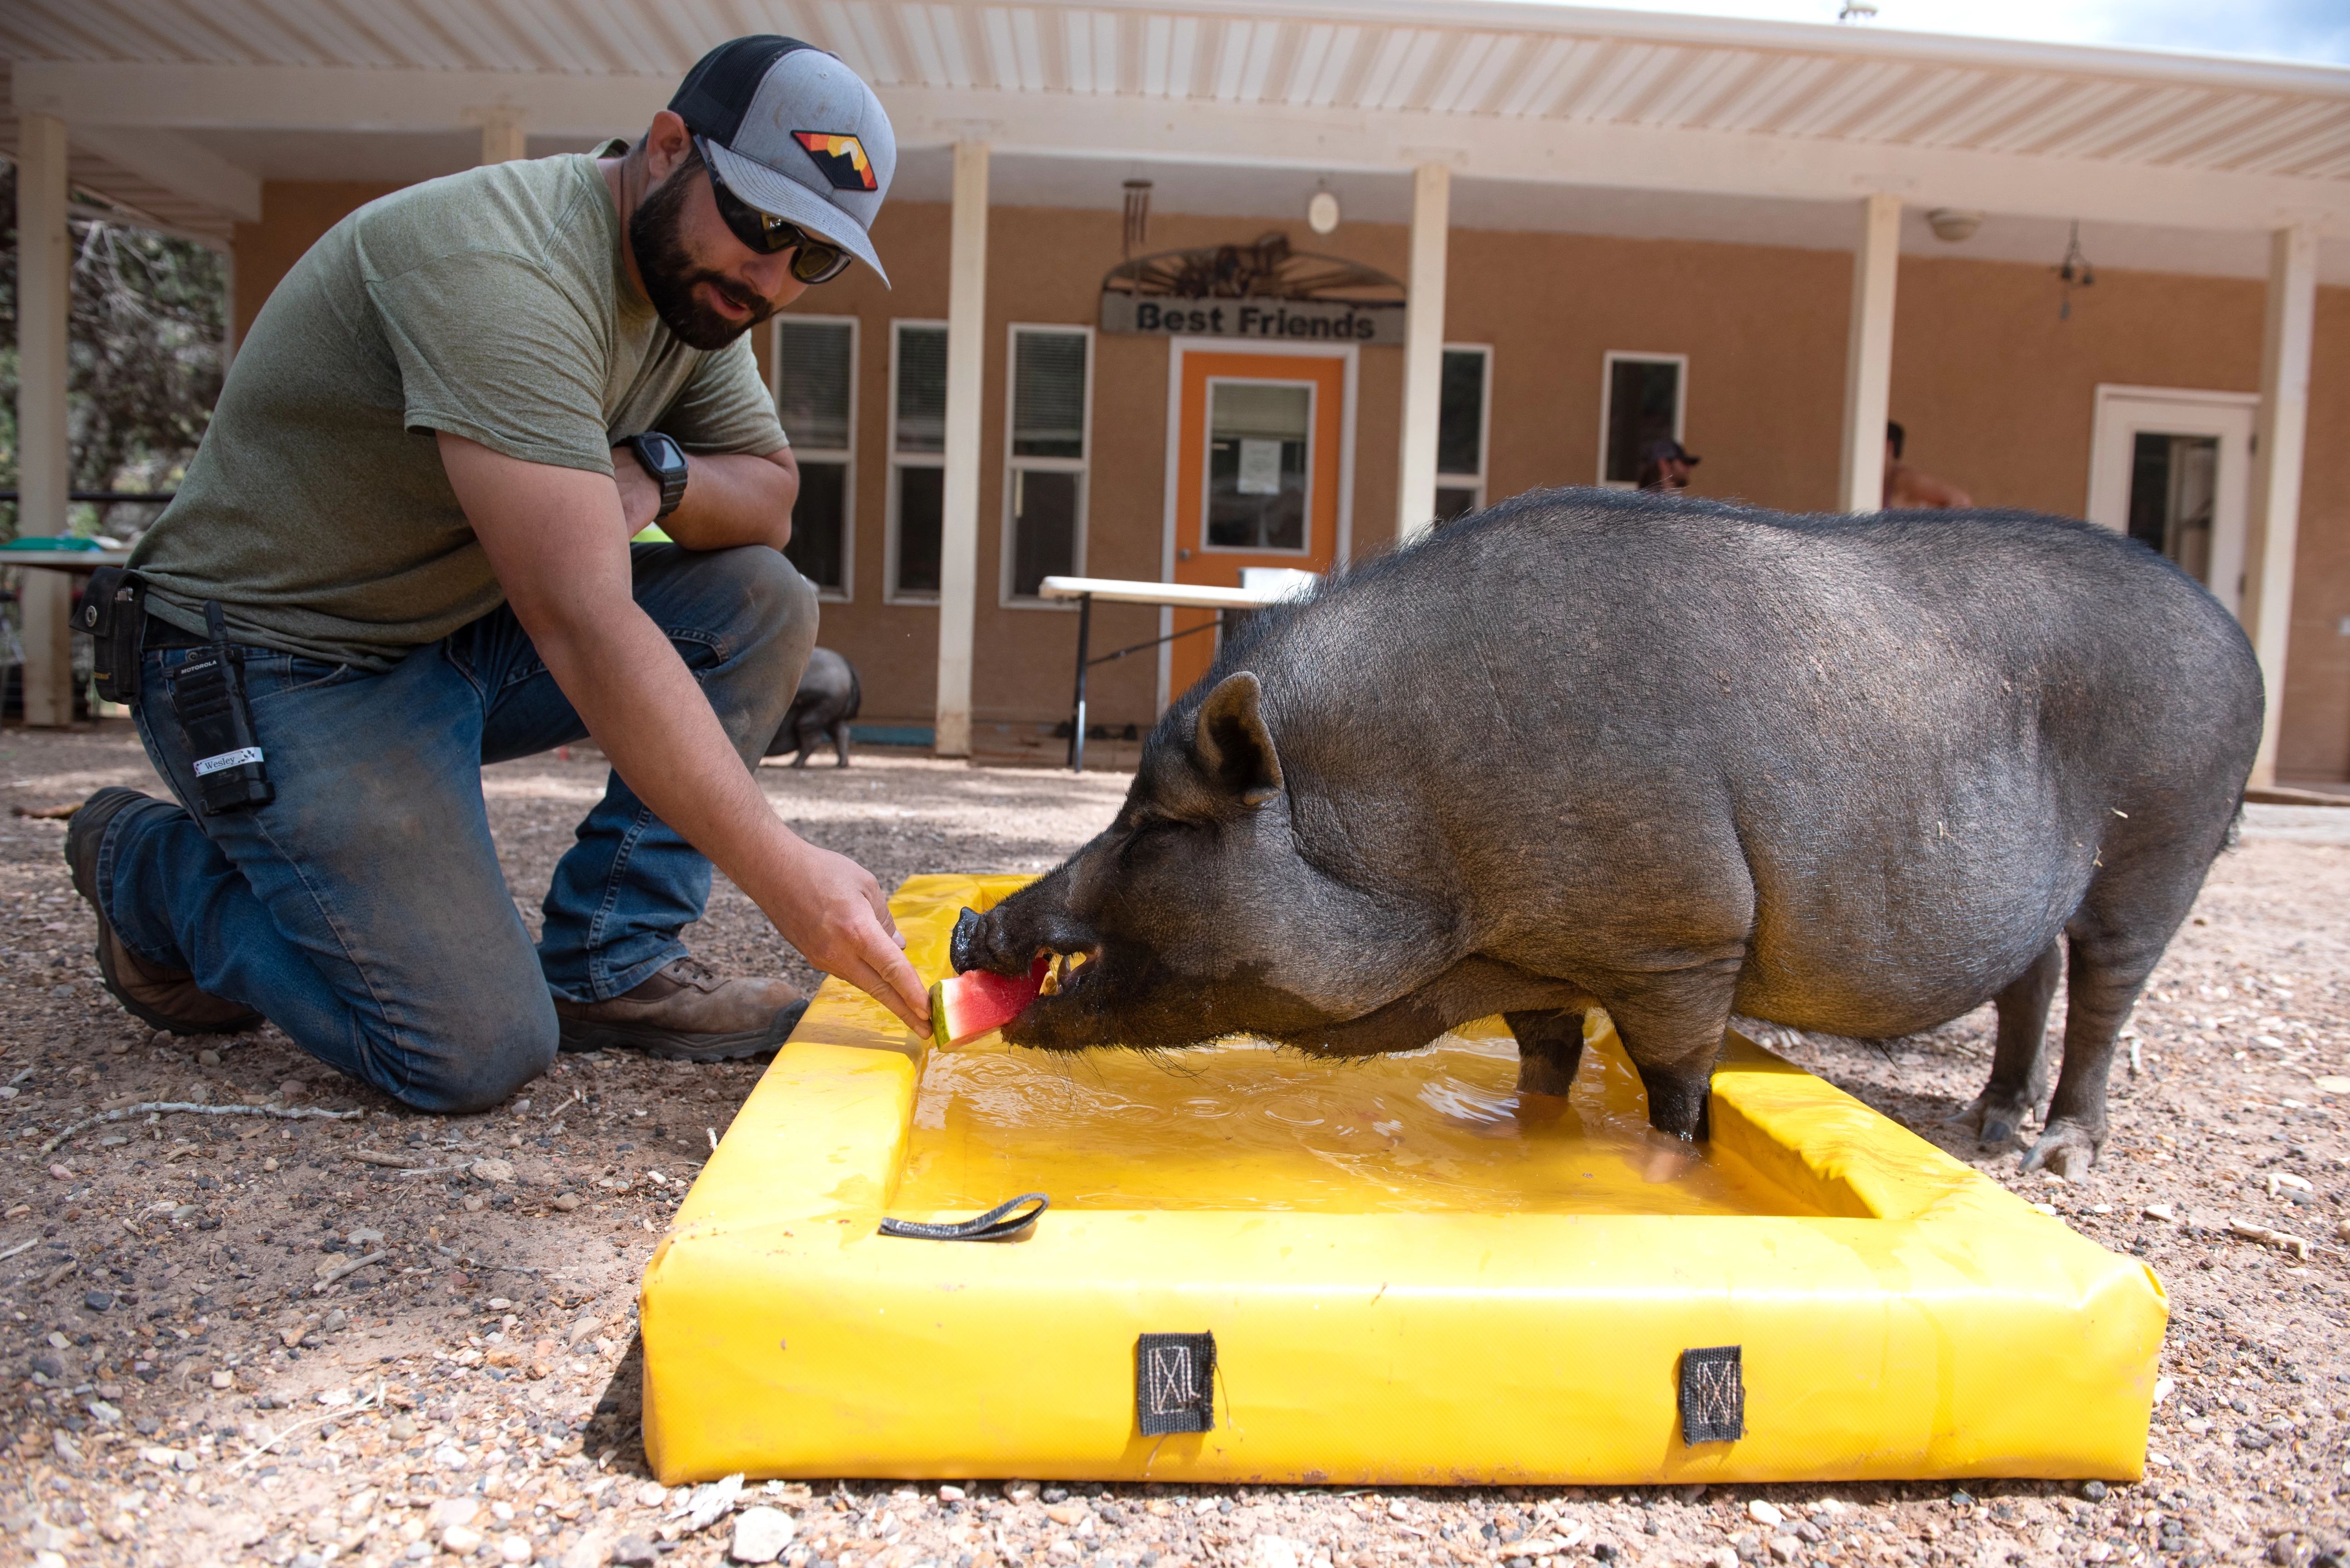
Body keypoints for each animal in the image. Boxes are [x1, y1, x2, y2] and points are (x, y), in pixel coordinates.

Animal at [766, 646, 861, 768]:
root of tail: (844, 661)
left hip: (819, 710)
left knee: (813, 737)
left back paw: (795, 765)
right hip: (835, 714)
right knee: (842, 732)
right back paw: (841, 764)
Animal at [952, 489, 2263, 1177]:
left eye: (1160, 819)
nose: (972, 925)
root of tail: (2231, 628)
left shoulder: (1680, 942)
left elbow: (1677, 1084)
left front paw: (1659, 1174)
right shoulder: (1543, 967)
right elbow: (1544, 1065)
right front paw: (1514, 1134)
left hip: (2163, 843)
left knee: (2102, 994)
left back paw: (2055, 1156)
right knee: (2029, 976)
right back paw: (1991, 1134)